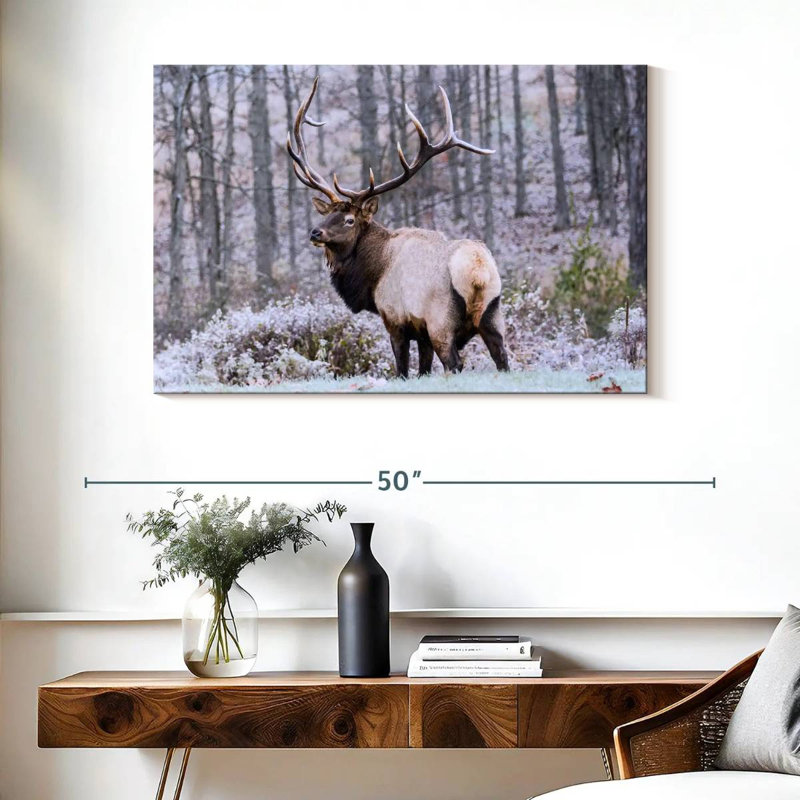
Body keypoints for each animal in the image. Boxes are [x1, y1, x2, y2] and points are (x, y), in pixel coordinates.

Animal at [287, 77, 509, 379]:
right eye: (328, 214)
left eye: (349, 220)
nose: (315, 232)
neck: (373, 274)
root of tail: (477, 272)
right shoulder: (422, 333)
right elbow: (423, 370)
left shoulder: (396, 319)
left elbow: (402, 369)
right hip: (493, 316)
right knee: (503, 359)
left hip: (441, 321)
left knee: (454, 363)